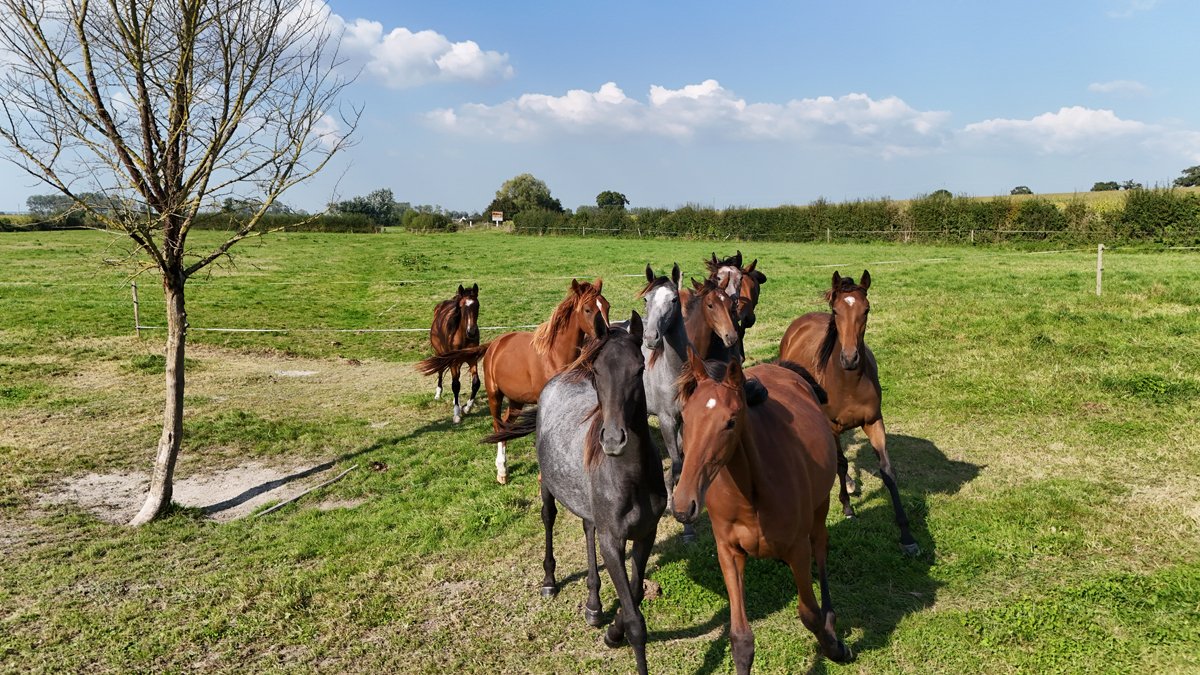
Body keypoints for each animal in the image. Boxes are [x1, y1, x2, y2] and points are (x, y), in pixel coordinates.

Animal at [420, 284, 480, 424]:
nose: (472, 332)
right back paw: (438, 393)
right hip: (441, 354)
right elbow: (455, 385)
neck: (463, 336)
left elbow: (475, 383)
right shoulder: (453, 361)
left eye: (477, 306)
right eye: (462, 307)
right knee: (441, 372)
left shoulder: (472, 359)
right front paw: (457, 414)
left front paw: (467, 408)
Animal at [484, 311, 666, 675]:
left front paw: (611, 629)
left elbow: (636, 596)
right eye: (597, 371)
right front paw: (620, 635)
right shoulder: (613, 541)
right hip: (547, 487)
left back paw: (594, 606)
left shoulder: (646, 534)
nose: (613, 440)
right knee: (549, 519)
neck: (632, 477)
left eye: (639, 367)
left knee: (587, 527)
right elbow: (636, 622)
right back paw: (550, 581)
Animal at [672, 351, 853, 672]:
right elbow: (741, 638)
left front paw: (835, 648)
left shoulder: (798, 550)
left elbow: (810, 614)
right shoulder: (728, 552)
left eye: (731, 422)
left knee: (820, 546)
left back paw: (832, 620)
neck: (751, 498)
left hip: (820, 505)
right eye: (685, 418)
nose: (683, 505)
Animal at [778, 270, 919, 555]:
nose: (850, 358)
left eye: (867, 310)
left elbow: (887, 471)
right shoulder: (831, 426)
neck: (848, 381)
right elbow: (841, 464)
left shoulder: (874, 421)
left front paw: (907, 535)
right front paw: (847, 507)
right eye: (836, 311)